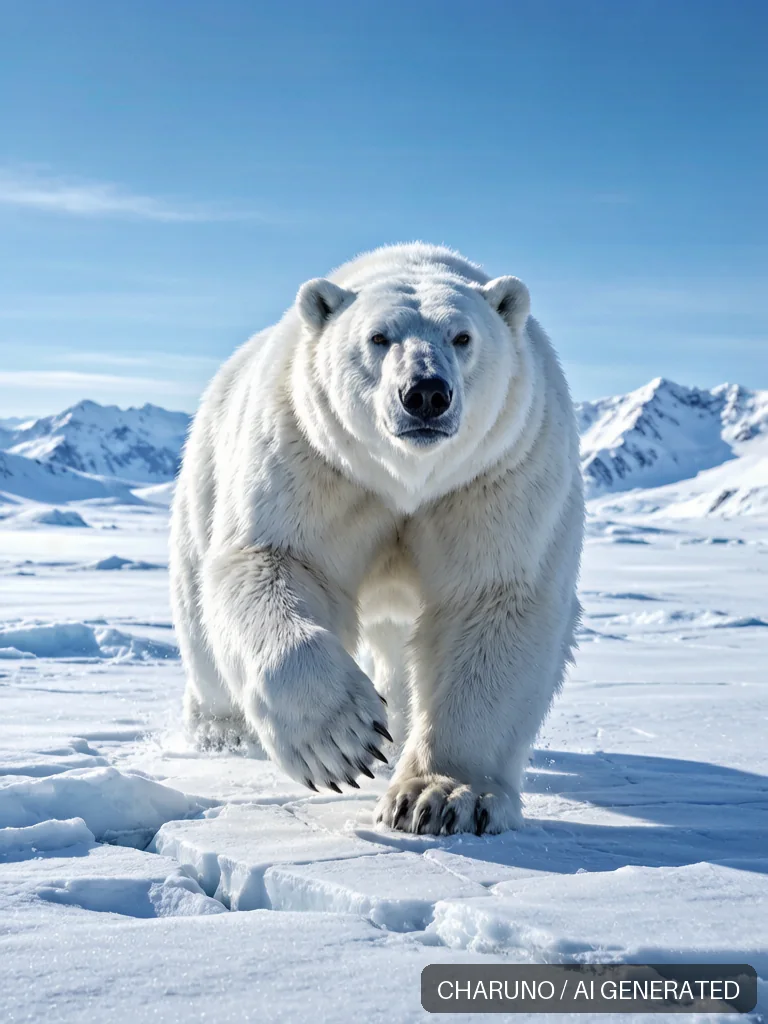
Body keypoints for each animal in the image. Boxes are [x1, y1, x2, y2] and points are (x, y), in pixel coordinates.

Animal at [170, 243, 584, 835]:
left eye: (462, 336)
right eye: (378, 337)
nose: (426, 393)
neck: (405, 479)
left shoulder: (498, 472)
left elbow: (493, 598)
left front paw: (441, 798)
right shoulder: (313, 458)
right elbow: (276, 561)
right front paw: (342, 740)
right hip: (204, 477)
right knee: (200, 621)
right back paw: (221, 731)